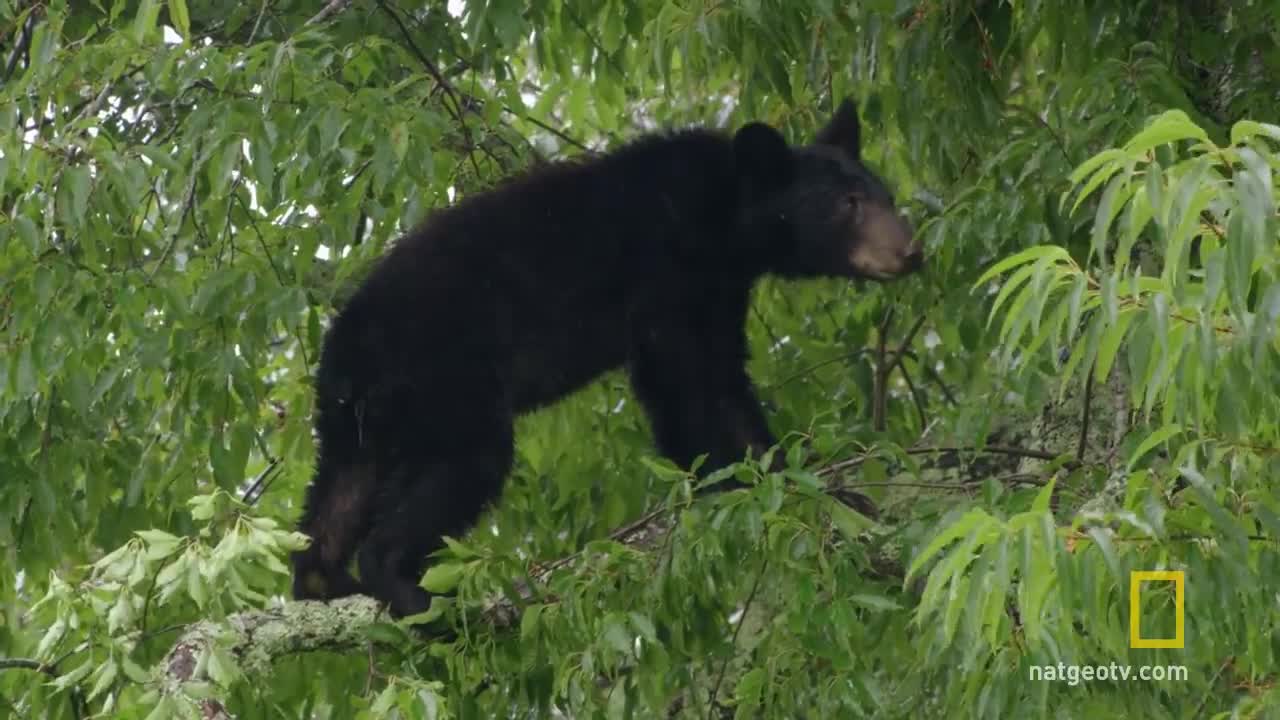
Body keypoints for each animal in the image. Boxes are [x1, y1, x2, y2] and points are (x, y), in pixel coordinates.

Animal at [293, 96, 921, 617]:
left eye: (885, 195)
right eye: (849, 204)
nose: (912, 251)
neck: (724, 219)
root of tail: (344, 357)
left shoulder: (717, 290)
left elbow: (720, 381)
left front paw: (822, 485)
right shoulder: (668, 275)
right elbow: (689, 388)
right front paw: (754, 479)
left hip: (359, 427)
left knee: (335, 499)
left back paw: (324, 581)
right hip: (442, 376)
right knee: (465, 462)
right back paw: (414, 593)